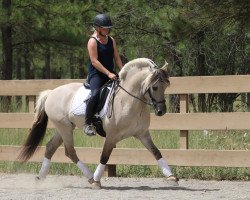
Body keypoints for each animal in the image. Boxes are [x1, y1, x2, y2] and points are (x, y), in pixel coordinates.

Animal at [18, 57, 179, 188]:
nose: (161, 111)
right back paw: (90, 177)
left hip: (64, 127)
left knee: (51, 147)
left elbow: (156, 152)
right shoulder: (112, 136)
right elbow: (104, 156)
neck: (129, 101)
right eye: (155, 87)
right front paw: (96, 181)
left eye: (166, 86)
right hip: (64, 128)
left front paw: (171, 177)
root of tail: (51, 92)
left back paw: (41, 177)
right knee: (70, 151)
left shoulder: (142, 134)